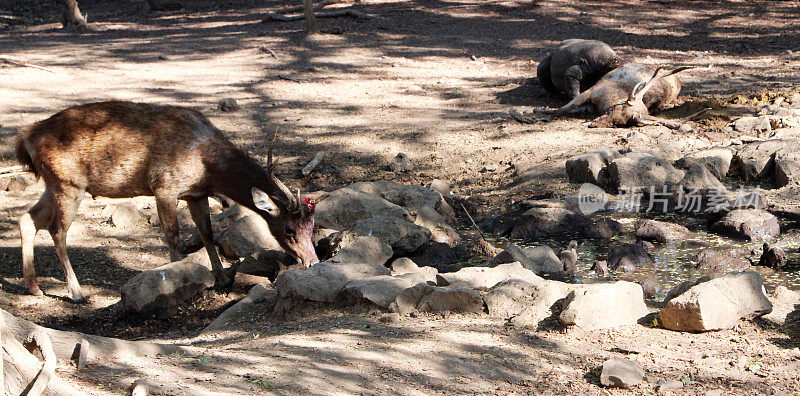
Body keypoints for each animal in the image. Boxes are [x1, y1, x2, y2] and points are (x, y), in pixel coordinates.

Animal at [14, 100, 316, 302]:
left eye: (312, 228)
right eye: (289, 230)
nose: (312, 262)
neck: (209, 167)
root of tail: (26, 138)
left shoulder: (196, 193)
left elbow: (207, 233)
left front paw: (222, 279)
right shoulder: (164, 186)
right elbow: (173, 236)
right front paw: (176, 279)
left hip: (53, 183)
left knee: (27, 219)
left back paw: (35, 287)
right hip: (69, 184)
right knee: (56, 230)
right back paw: (76, 292)